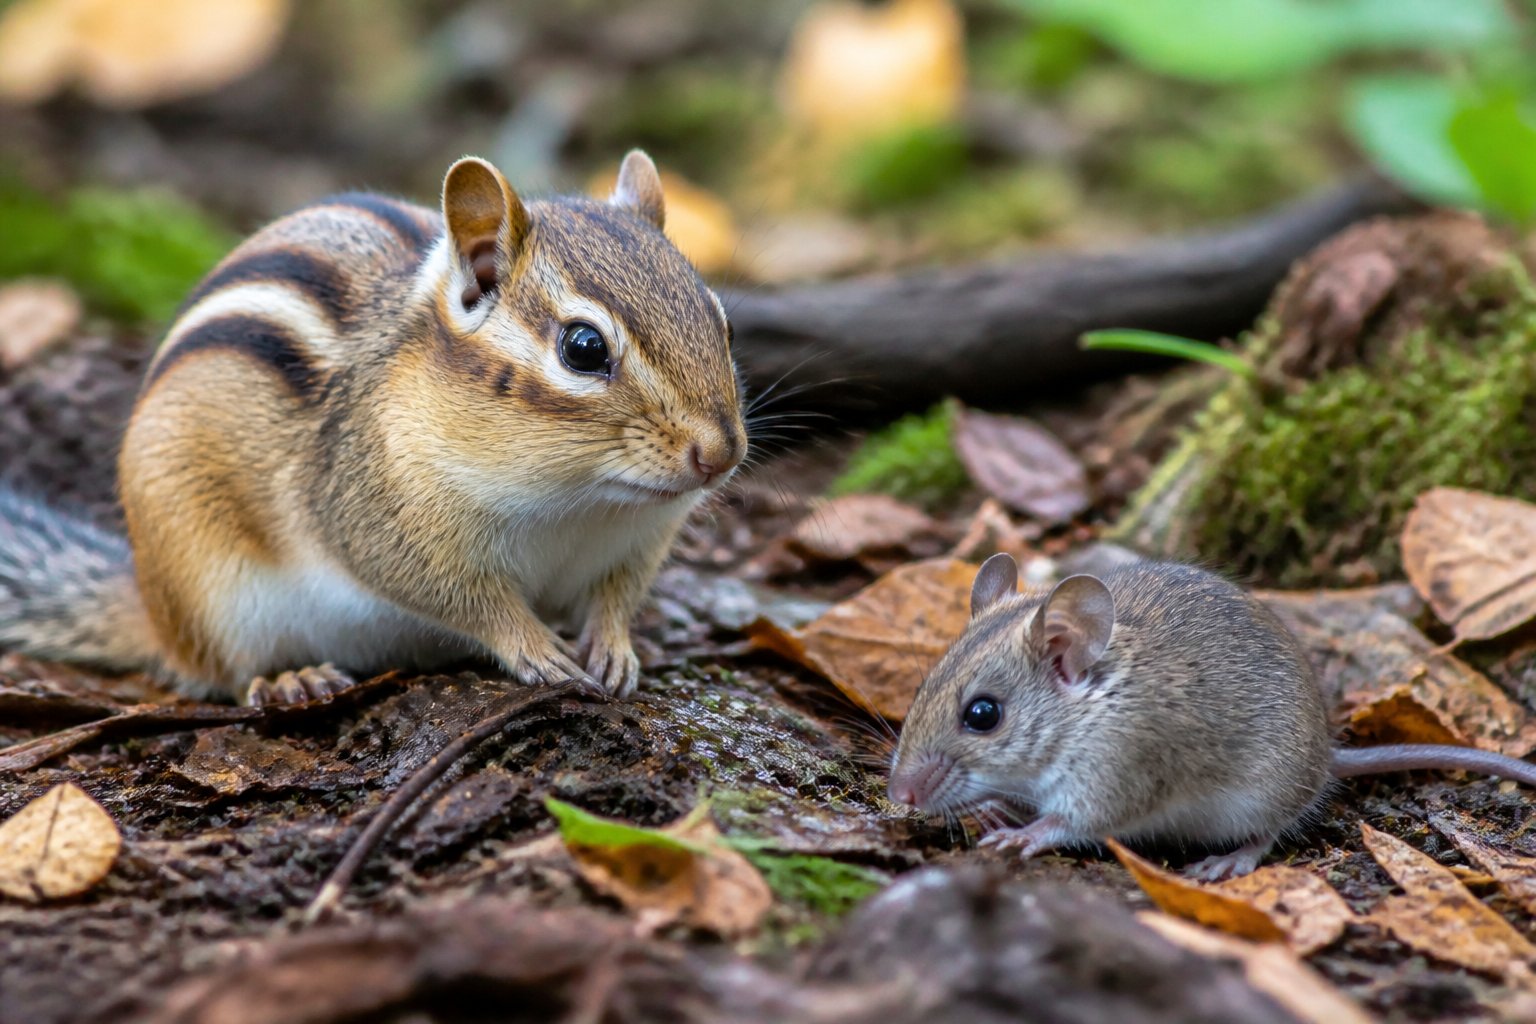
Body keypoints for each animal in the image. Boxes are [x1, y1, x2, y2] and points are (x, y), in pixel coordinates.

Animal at [0, 150, 746, 705]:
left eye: (721, 319)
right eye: (583, 348)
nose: (720, 455)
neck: (582, 501)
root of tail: (150, 605)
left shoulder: (637, 542)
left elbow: (616, 596)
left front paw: (616, 649)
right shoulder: (383, 520)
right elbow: (471, 602)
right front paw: (537, 649)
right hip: (212, 592)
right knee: (224, 673)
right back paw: (290, 678)